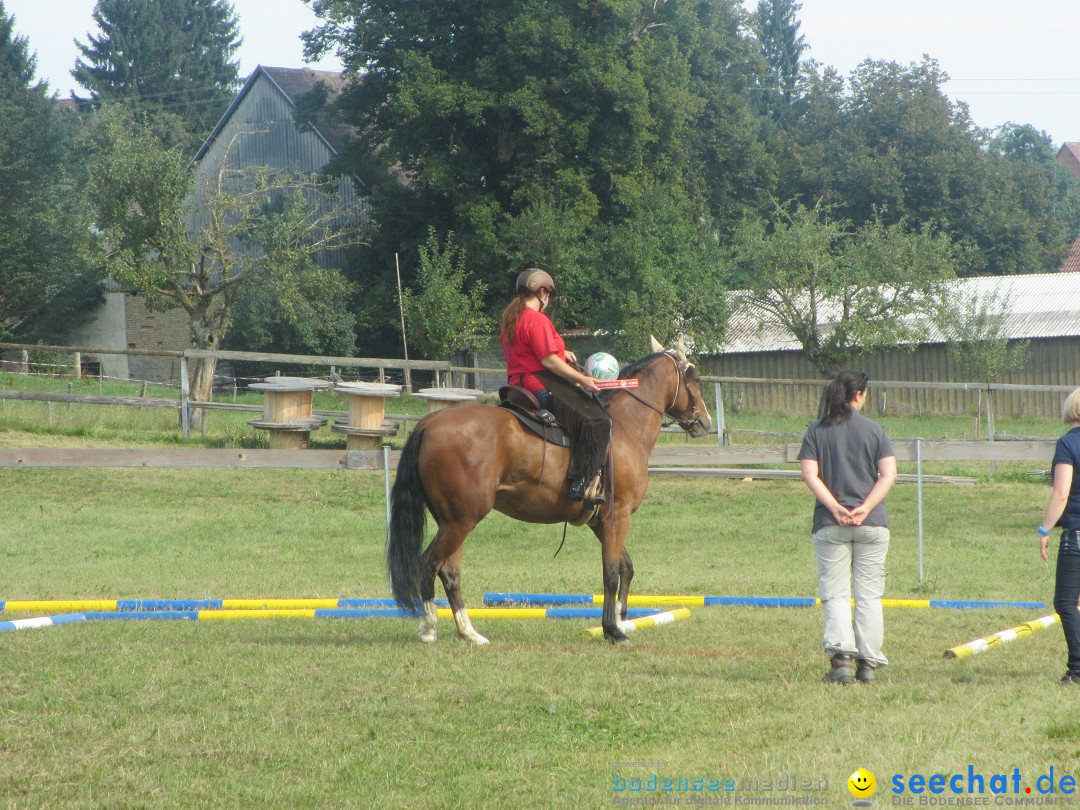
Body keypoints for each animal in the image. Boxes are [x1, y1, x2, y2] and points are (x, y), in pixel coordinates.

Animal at [386, 336, 708, 639]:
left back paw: (469, 633)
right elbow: (611, 573)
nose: (704, 422)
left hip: (452, 521)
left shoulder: (600, 520)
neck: (625, 426)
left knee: (449, 571)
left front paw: (620, 618)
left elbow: (625, 567)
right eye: (693, 377)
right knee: (429, 564)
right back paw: (429, 628)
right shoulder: (618, 515)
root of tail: (429, 423)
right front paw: (612, 630)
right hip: (461, 520)